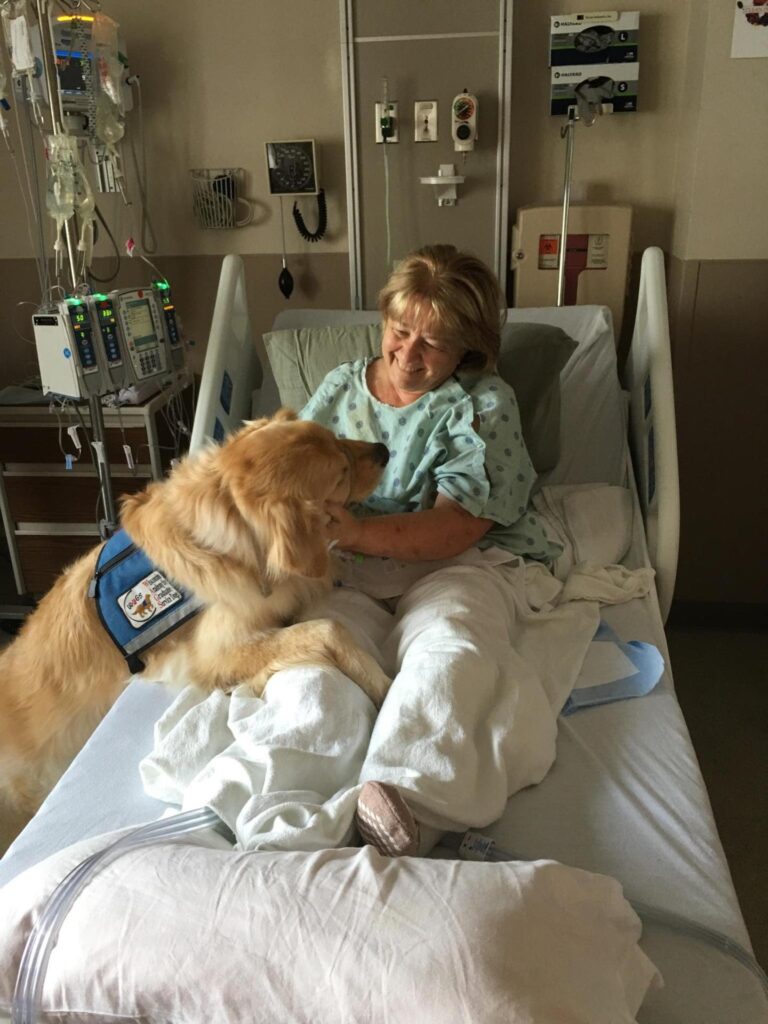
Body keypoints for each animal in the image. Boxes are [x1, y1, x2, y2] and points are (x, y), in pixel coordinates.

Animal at [0, 411, 393, 819]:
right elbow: (328, 627)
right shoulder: (214, 652)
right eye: (342, 472)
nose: (384, 450)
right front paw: (381, 684)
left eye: (337, 437)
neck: (232, 537)